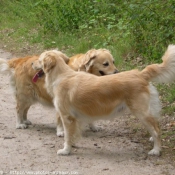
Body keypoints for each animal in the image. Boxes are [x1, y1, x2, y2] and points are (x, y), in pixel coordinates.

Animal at [31, 45, 175, 156]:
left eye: (39, 60)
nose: (32, 63)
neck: (61, 75)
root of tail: (140, 74)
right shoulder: (76, 118)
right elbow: (74, 134)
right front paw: (73, 145)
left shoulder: (67, 117)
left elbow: (67, 135)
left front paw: (66, 150)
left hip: (141, 112)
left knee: (157, 131)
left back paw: (156, 150)